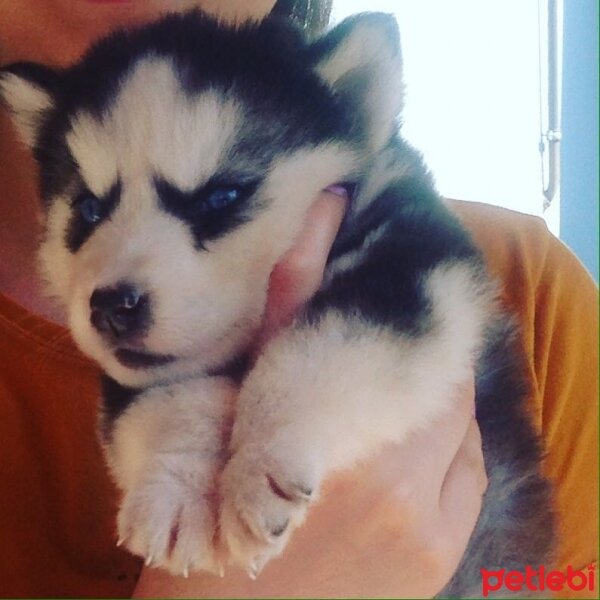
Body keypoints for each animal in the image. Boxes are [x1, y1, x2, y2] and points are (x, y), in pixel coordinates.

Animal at [0, 9, 552, 596]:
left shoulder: (411, 267)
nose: (109, 307)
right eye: (88, 209)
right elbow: (171, 404)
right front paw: (173, 490)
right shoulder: (141, 375)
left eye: (220, 196)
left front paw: (257, 467)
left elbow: (312, 353)